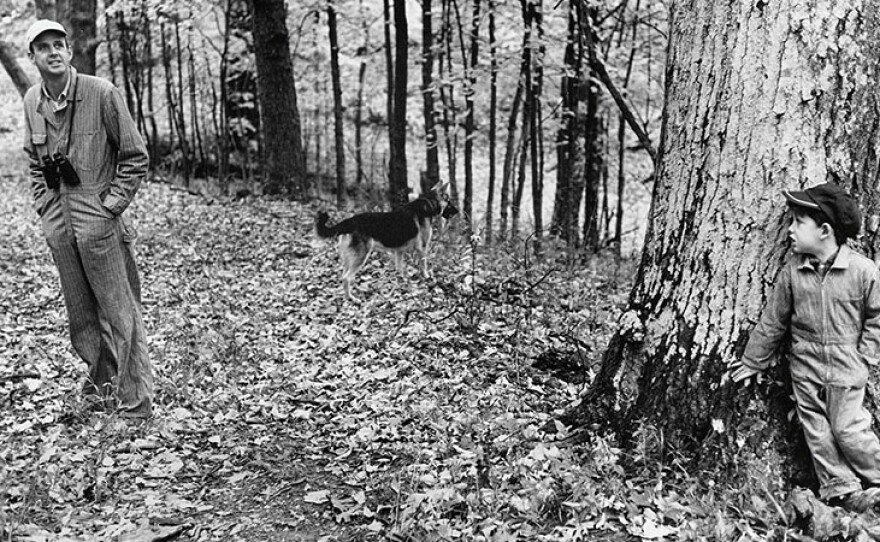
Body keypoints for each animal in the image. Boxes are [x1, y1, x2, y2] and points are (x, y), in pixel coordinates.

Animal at [316, 191, 460, 302]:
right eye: (449, 202)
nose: (458, 211)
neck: (428, 205)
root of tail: (349, 221)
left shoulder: (399, 252)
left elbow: (401, 269)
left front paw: (405, 283)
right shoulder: (422, 248)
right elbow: (423, 266)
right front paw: (426, 277)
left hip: (348, 259)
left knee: (343, 276)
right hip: (360, 257)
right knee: (346, 278)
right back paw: (351, 298)